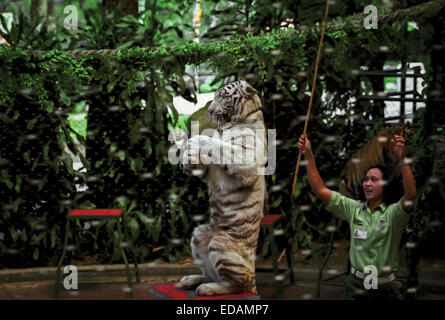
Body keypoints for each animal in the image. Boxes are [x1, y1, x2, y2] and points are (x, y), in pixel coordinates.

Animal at [178, 81, 268, 296]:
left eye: (224, 97)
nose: (210, 111)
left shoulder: (247, 160)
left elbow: (221, 145)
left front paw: (197, 140)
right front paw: (187, 156)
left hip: (221, 245)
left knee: (237, 284)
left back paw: (208, 288)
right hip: (198, 234)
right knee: (212, 273)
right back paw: (191, 279)